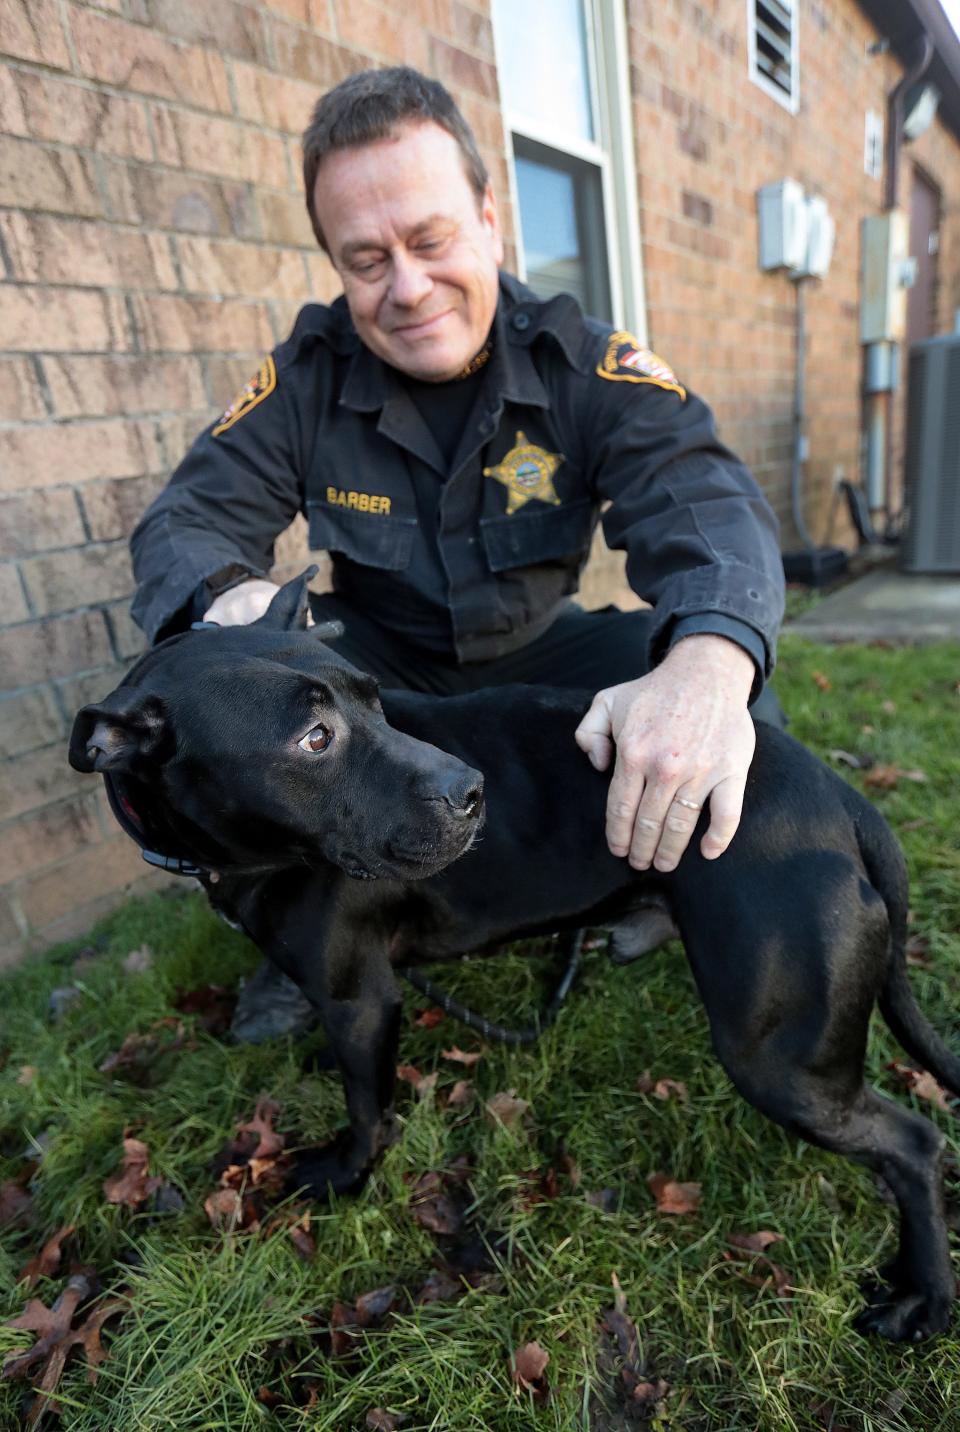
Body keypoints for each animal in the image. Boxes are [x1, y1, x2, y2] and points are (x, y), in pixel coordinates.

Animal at [69, 572, 960, 1340]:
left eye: (375, 702)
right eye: (314, 737)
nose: (473, 791)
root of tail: (842, 801)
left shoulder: (360, 999)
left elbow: (366, 1107)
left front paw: (347, 1173)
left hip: (777, 1058)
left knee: (913, 1144)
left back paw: (923, 1296)